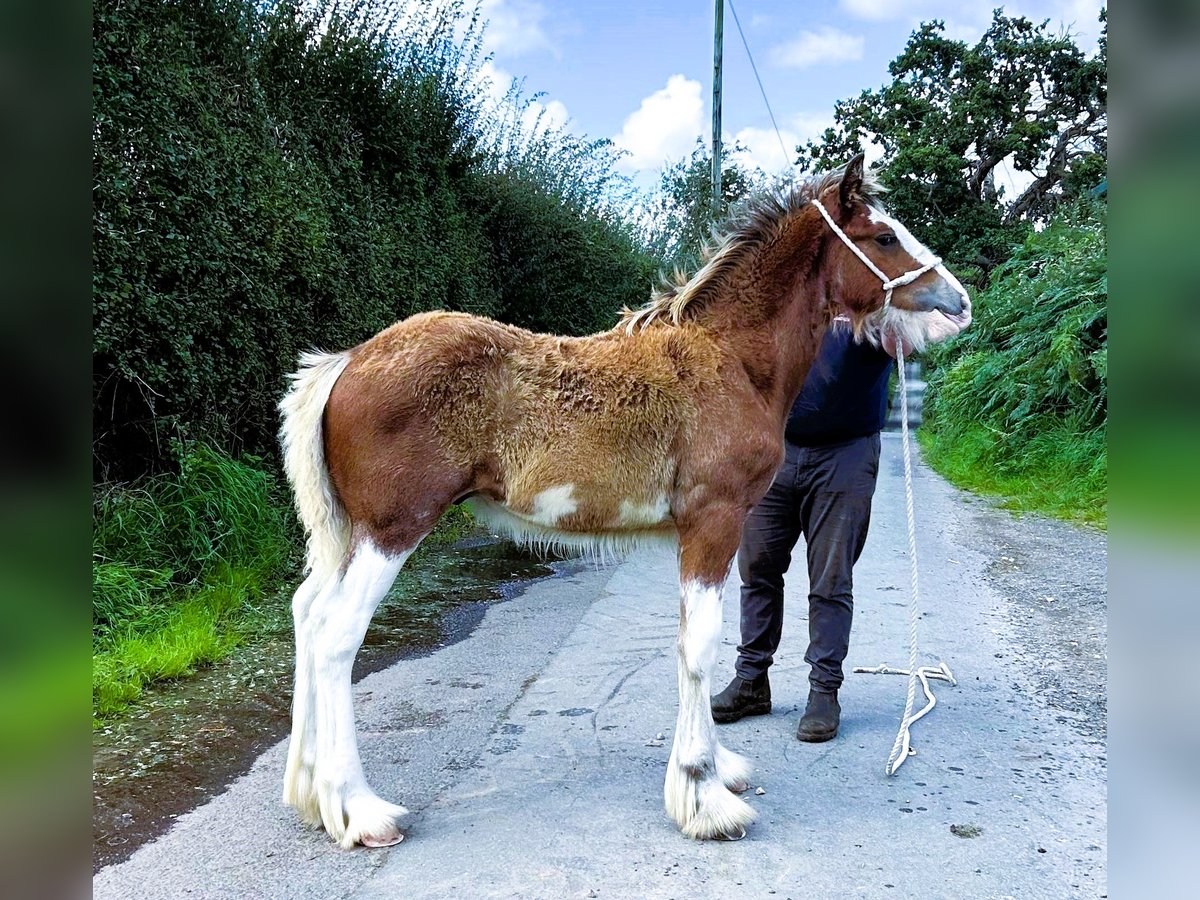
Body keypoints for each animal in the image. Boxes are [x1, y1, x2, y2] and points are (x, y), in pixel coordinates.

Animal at [278, 151, 964, 849]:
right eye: (885, 236)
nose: (956, 302)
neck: (729, 358)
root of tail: (346, 362)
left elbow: (695, 639)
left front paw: (720, 769)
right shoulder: (713, 522)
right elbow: (700, 646)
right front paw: (703, 797)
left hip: (346, 535)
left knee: (306, 614)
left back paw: (311, 793)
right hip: (391, 530)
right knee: (336, 633)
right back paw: (359, 809)